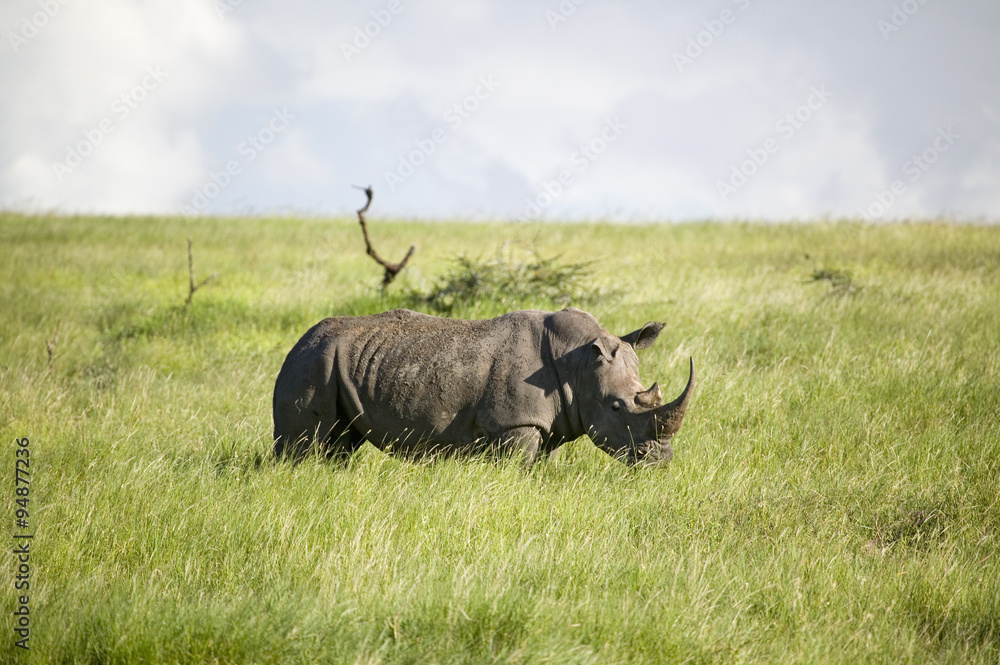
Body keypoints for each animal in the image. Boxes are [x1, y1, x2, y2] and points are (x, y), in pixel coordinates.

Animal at [272, 307, 693, 466]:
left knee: (340, 444)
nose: (661, 460)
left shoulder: (550, 424)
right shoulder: (515, 424)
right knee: (304, 444)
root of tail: (300, 340)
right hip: (312, 361)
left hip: (334, 362)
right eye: (617, 407)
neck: (577, 363)